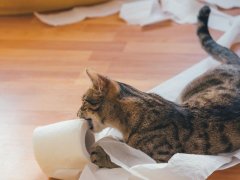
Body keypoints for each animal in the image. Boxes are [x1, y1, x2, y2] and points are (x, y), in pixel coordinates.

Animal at [77, 5, 240, 169]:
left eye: (83, 100)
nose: (77, 113)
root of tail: (236, 64)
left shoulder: (158, 158)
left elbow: (124, 158)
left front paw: (101, 154)